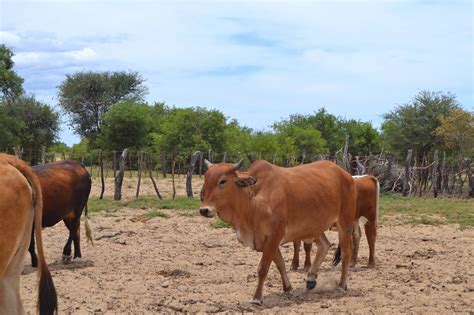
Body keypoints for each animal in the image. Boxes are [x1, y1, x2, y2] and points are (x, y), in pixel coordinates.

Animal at [198, 160, 358, 306]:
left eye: (222, 181)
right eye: (206, 180)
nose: (204, 210)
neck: (254, 200)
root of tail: (346, 174)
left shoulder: (274, 236)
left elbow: (263, 268)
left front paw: (257, 298)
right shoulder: (267, 240)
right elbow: (280, 263)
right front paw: (287, 288)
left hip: (344, 223)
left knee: (346, 252)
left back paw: (341, 285)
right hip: (313, 227)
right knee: (325, 246)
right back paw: (311, 279)